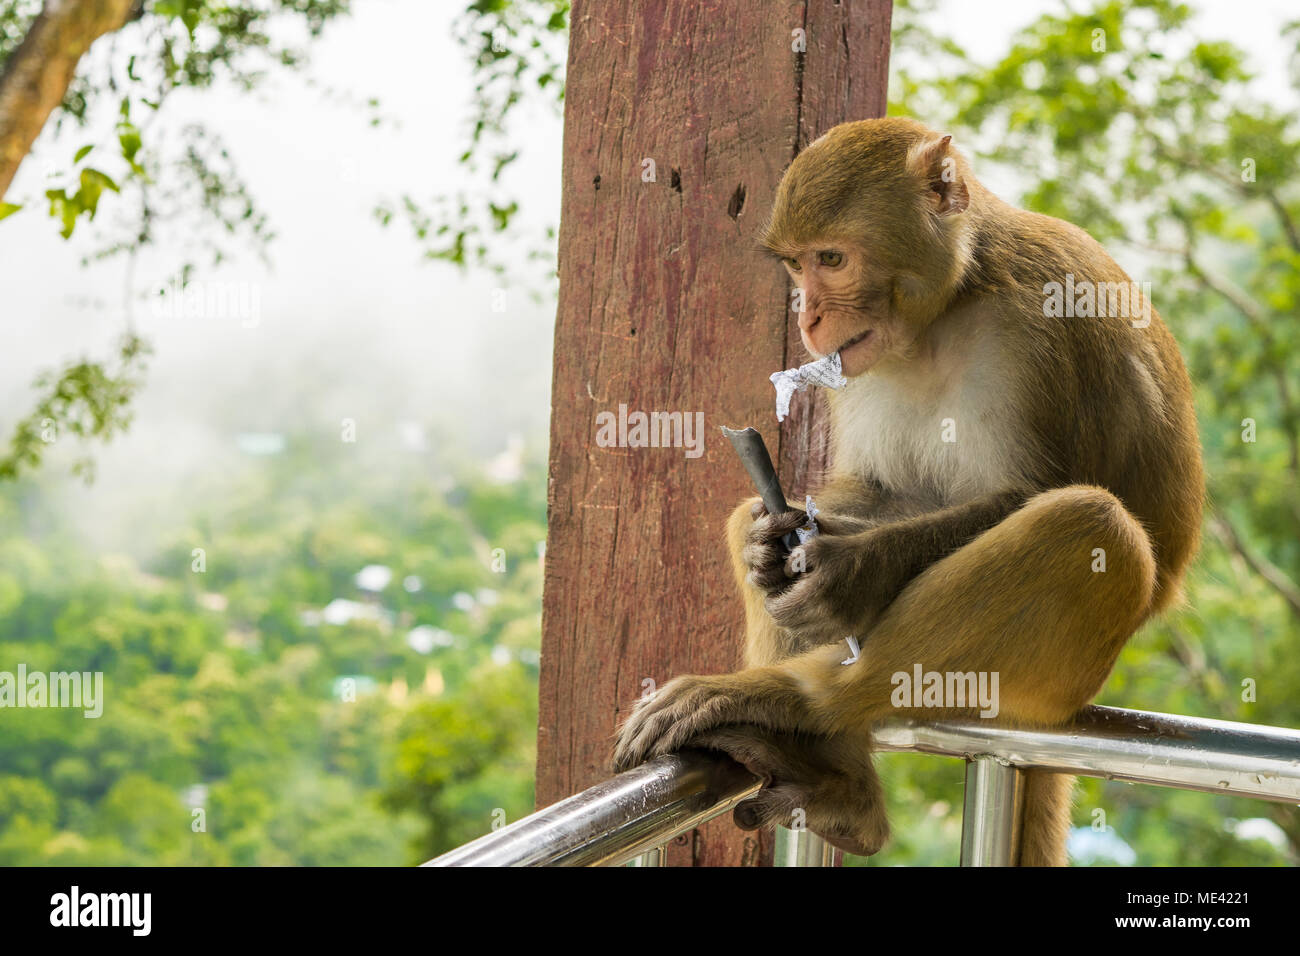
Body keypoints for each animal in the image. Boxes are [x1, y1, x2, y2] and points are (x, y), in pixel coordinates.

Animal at [613, 117, 1201, 868]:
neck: (944, 310)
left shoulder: (1029, 329)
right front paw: (770, 542)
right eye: (796, 265)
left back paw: (804, 701)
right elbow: (875, 487)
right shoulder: (854, 366)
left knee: (1092, 526)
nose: (808, 320)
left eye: (832, 258)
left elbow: (1025, 492)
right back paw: (838, 782)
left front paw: (852, 569)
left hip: (1045, 687)